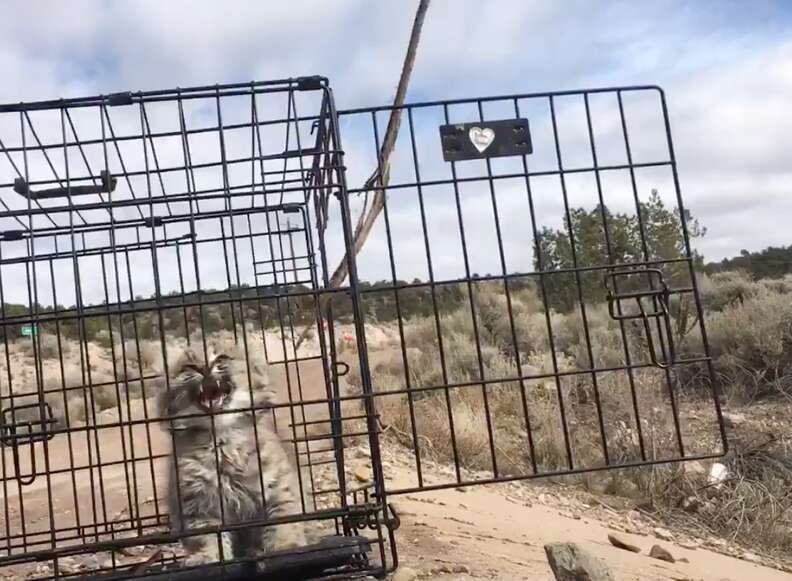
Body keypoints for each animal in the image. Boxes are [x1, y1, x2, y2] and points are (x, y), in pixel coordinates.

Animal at [161, 342, 306, 564]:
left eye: (221, 357)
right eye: (189, 366)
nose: (204, 368)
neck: (222, 442)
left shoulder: (278, 491)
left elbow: (283, 525)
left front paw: (286, 547)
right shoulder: (197, 507)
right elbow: (206, 539)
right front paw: (205, 557)